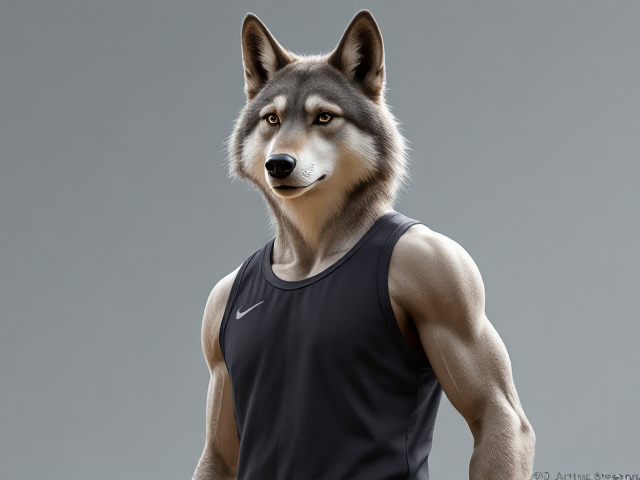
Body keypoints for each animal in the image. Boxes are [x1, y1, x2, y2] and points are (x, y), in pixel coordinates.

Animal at [193, 10, 535, 480]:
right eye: (272, 119)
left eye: (323, 117)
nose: (278, 164)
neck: (313, 254)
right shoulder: (218, 313)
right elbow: (220, 449)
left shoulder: (445, 272)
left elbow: (492, 408)